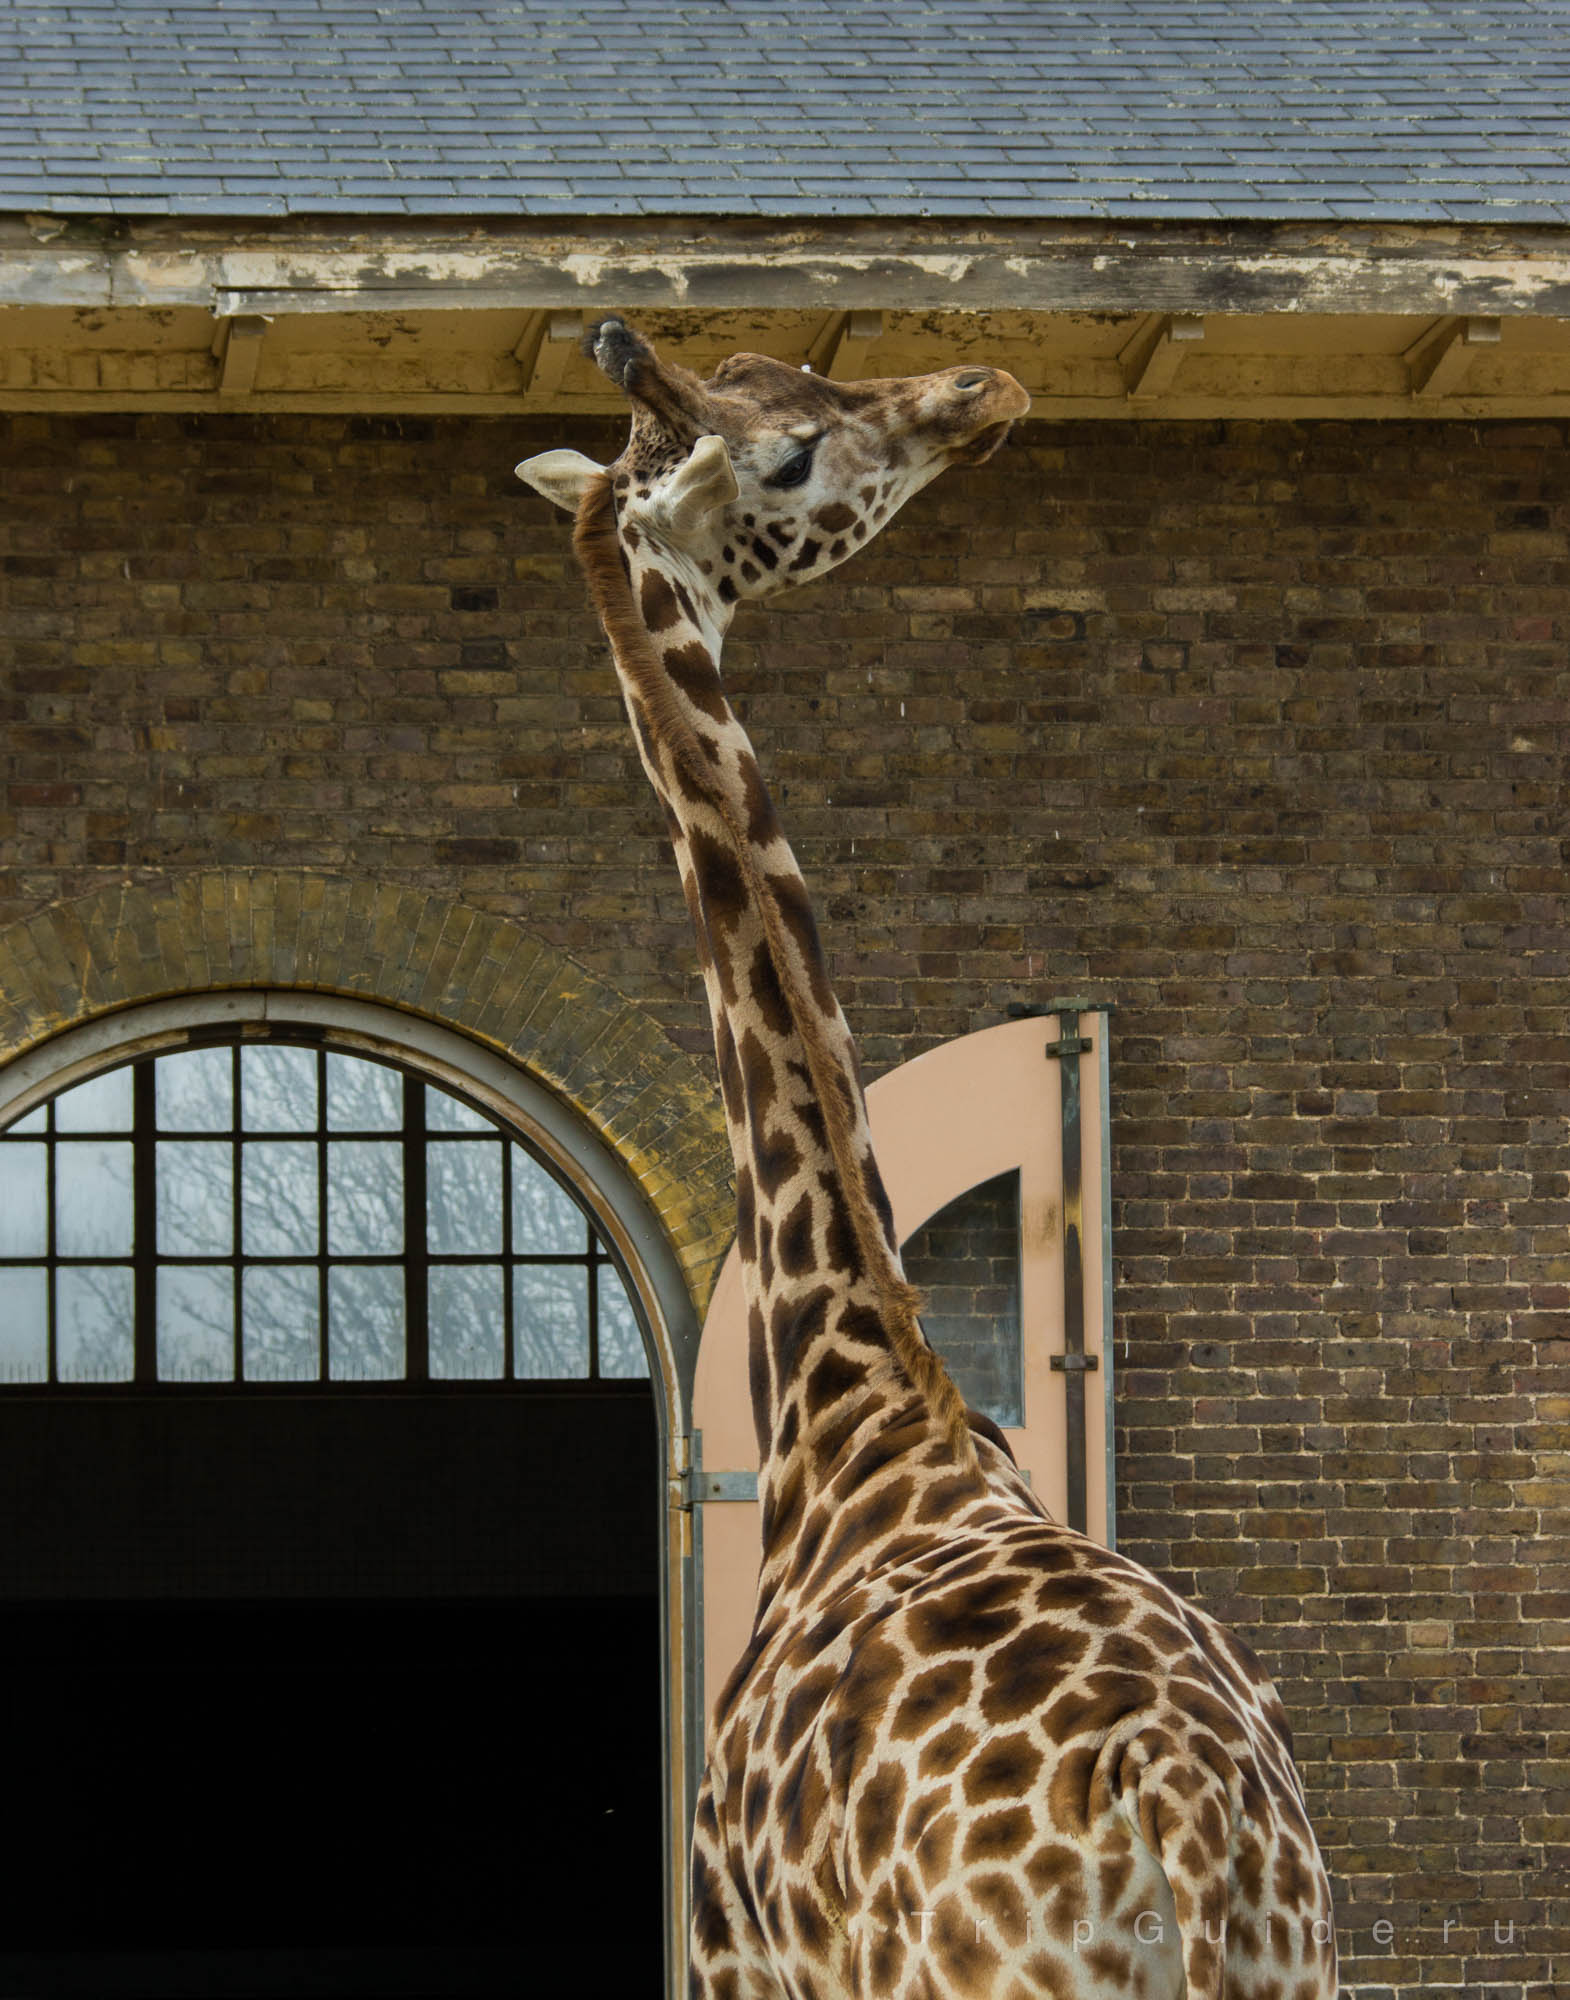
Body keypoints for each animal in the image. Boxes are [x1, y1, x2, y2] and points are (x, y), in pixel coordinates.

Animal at [518, 319, 1337, 2000]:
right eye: (783, 449)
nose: (980, 387)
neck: (856, 1404)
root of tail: (1175, 1799)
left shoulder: (734, 1955)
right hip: (1299, 1953)